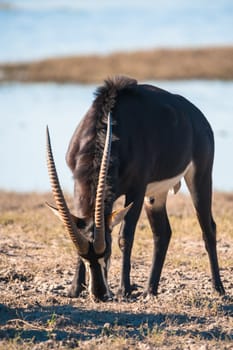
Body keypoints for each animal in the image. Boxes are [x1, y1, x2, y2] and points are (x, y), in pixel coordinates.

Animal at [46, 75, 225, 300]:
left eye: (107, 251)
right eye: (85, 256)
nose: (99, 294)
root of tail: (198, 117)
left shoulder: (137, 190)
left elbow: (125, 236)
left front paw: (124, 289)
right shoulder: (77, 184)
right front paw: (74, 289)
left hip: (199, 177)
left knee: (208, 228)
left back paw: (218, 288)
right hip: (155, 195)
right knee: (163, 233)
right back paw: (150, 289)